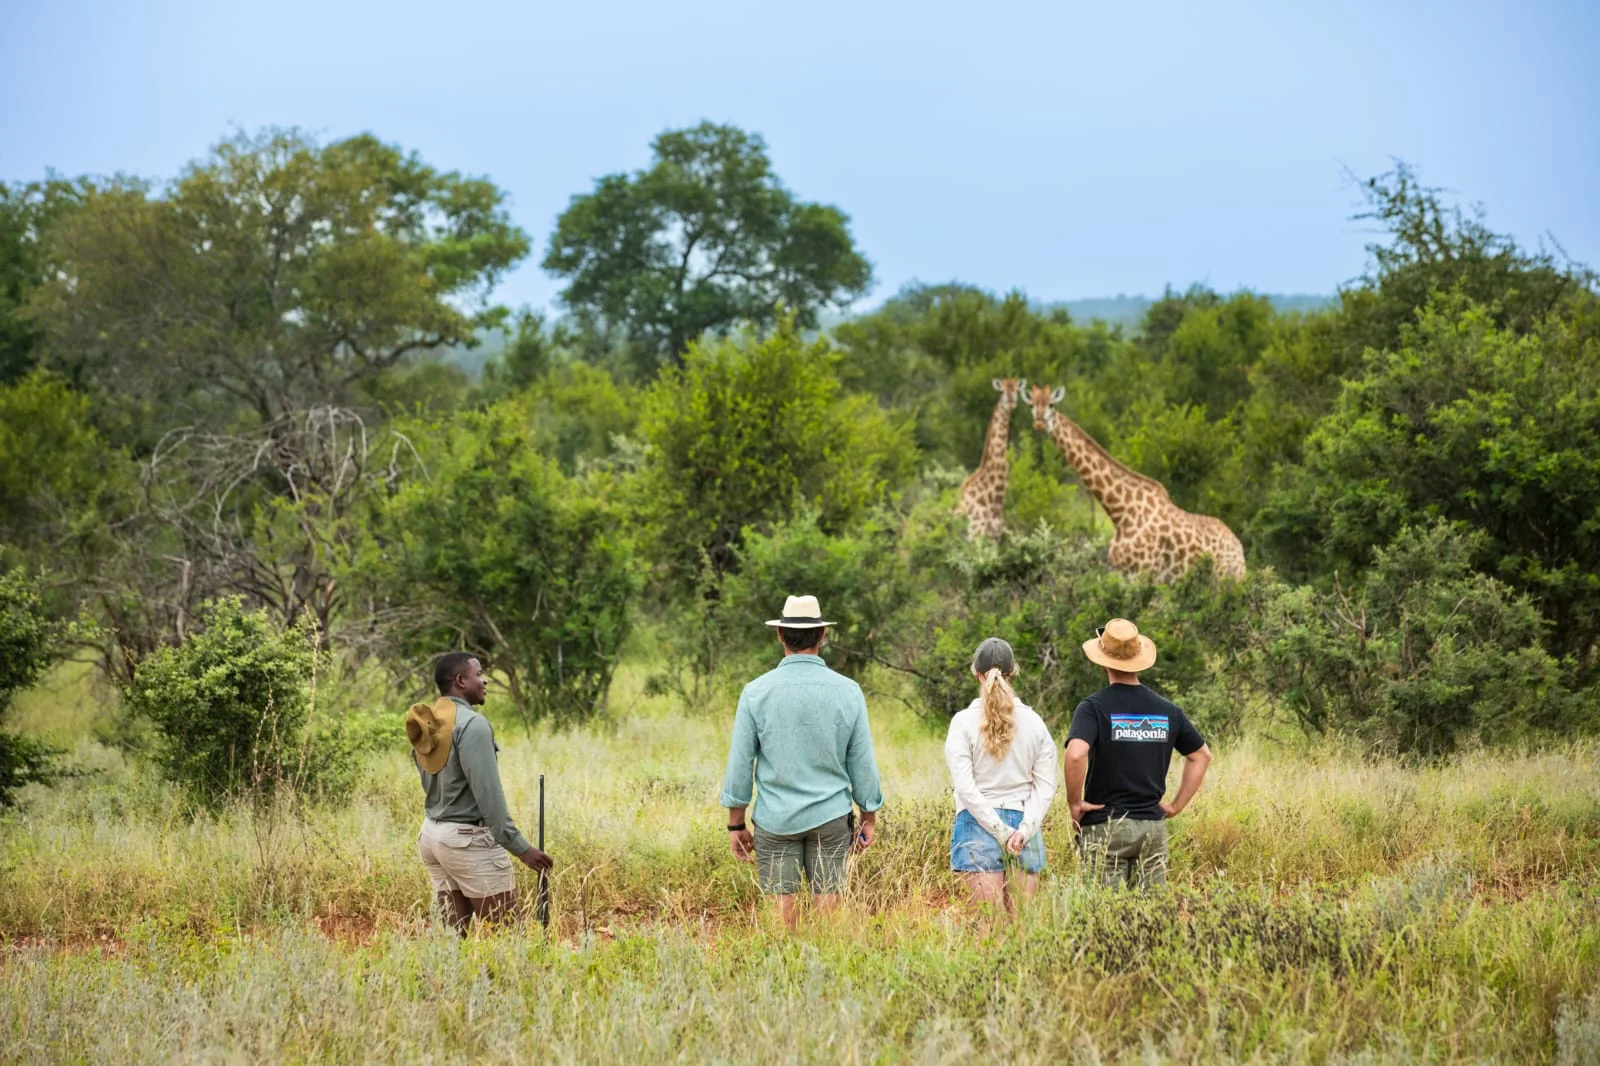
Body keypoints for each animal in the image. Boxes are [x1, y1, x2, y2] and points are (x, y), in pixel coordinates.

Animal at [1028, 384, 1246, 581]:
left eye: (1051, 405)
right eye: (1032, 405)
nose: (1039, 422)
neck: (1120, 512)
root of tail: (1239, 548)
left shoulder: (1144, 571)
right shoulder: (1122, 573)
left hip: (1226, 578)